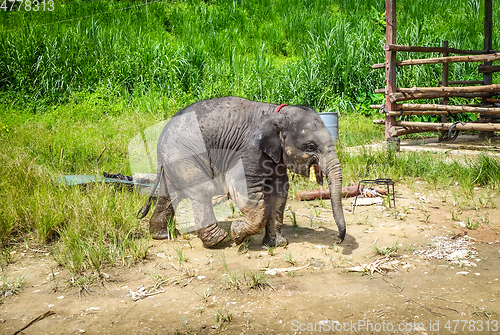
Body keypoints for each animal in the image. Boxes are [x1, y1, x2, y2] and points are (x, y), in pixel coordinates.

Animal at [138, 96, 348, 248]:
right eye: (311, 146)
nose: (338, 240)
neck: (277, 112)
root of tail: (161, 137)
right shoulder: (248, 151)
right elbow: (241, 186)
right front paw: (237, 234)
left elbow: (279, 192)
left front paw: (276, 244)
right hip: (183, 153)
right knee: (199, 189)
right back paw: (218, 240)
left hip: (174, 158)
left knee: (170, 193)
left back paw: (162, 235)